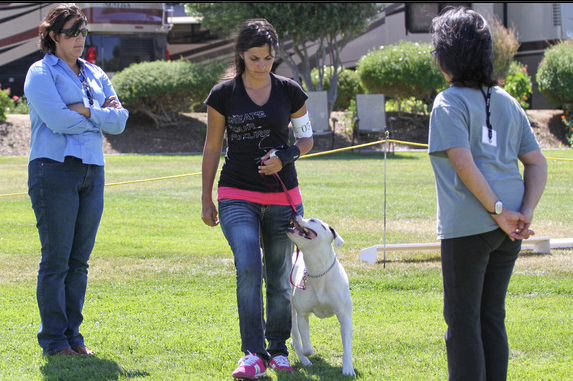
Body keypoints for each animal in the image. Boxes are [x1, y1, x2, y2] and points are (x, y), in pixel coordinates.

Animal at [286, 214, 354, 374]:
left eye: (312, 221)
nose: (295, 214)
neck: (318, 271)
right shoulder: (302, 314)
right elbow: (306, 346)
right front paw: (306, 353)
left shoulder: (345, 316)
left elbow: (347, 344)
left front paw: (348, 368)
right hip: (292, 312)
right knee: (296, 336)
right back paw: (304, 359)